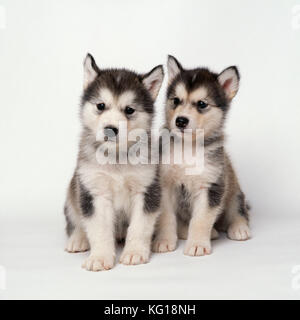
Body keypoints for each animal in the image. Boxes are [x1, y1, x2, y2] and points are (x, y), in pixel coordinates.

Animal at [64, 54, 164, 270]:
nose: (110, 129)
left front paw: (135, 253)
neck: (116, 157)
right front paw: (100, 257)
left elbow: (140, 227)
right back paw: (78, 239)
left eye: (129, 110)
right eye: (100, 106)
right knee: (77, 222)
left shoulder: (146, 190)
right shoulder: (94, 192)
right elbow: (99, 228)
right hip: (73, 194)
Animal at [152, 55, 251, 255]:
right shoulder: (166, 185)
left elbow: (201, 219)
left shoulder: (211, 186)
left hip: (233, 190)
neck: (188, 148)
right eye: (176, 100)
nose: (180, 121)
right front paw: (164, 241)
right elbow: (166, 217)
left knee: (238, 210)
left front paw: (197, 244)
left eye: (202, 104)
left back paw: (239, 228)